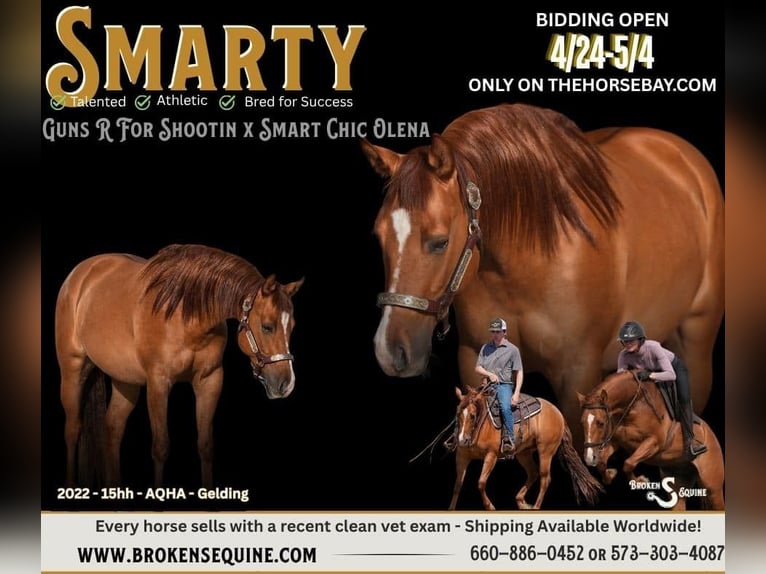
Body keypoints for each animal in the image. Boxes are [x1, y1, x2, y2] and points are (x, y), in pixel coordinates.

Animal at [55, 244, 304, 488]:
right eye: (267, 326)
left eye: (291, 326)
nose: (287, 384)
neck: (184, 314)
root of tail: (80, 275)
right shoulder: (158, 383)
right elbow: (161, 448)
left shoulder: (210, 380)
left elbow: (205, 445)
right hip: (73, 371)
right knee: (72, 430)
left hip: (125, 381)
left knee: (112, 429)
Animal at [361, 103, 724, 447]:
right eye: (379, 237)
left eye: (440, 242)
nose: (389, 351)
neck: (527, 267)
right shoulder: (474, 363)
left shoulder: (578, 375)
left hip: (695, 346)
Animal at [449, 386, 603, 510]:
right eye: (458, 413)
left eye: (472, 415)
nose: (462, 440)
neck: (482, 424)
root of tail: (558, 413)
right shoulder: (461, 456)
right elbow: (457, 485)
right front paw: (451, 508)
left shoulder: (491, 455)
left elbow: (481, 483)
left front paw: (490, 506)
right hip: (523, 453)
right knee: (533, 473)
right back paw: (521, 501)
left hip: (545, 451)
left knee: (544, 478)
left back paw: (535, 506)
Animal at [577, 370, 725, 510]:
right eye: (582, 423)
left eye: (601, 423)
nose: (589, 458)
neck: (635, 405)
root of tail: (712, 435)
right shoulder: (617, 441)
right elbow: (602, 463)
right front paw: (610, 474)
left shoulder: (653, 442)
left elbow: (629, 463)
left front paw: (640, 481)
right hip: (678, 480)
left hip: (713, 487)